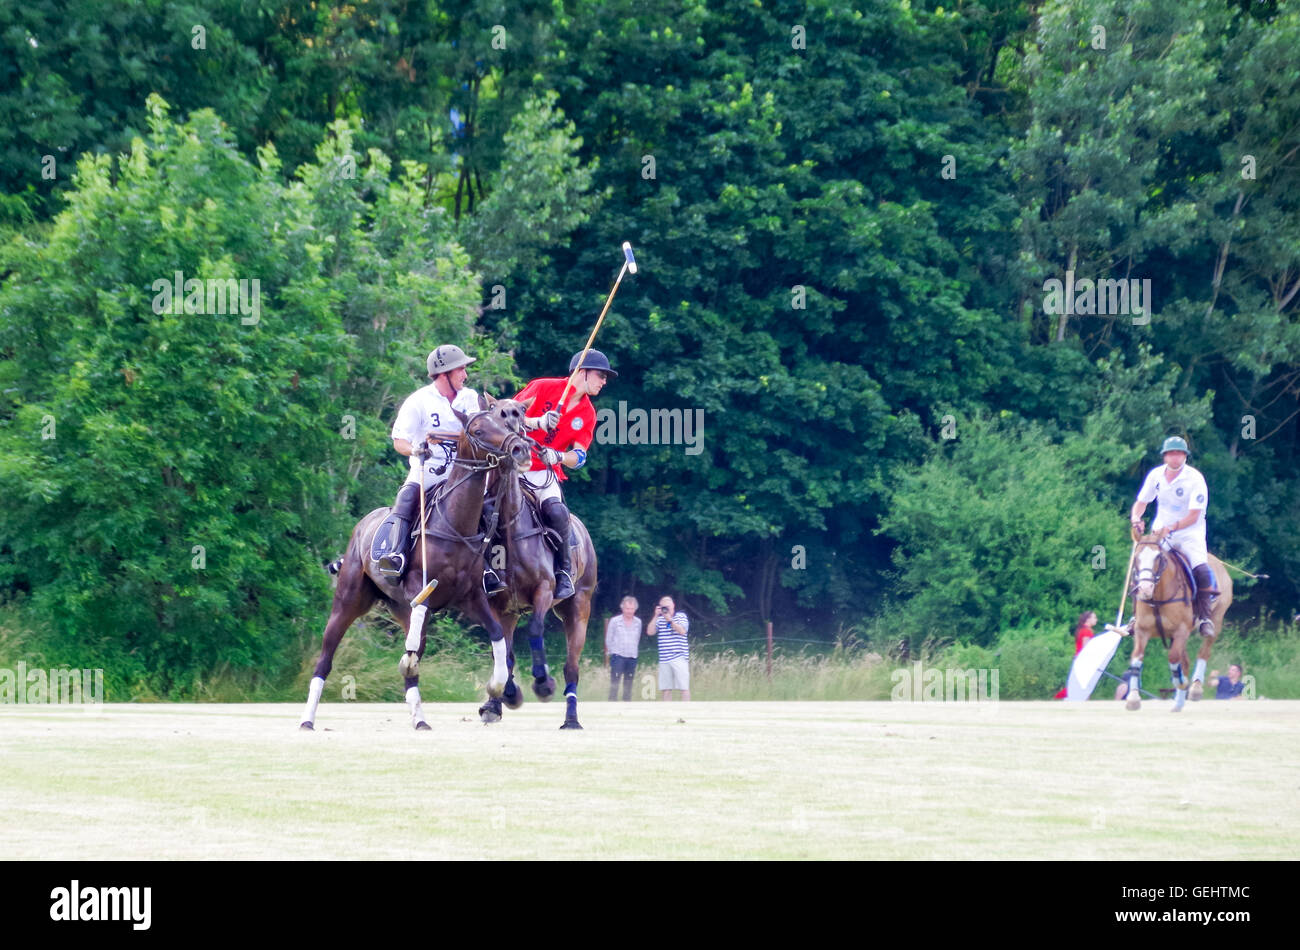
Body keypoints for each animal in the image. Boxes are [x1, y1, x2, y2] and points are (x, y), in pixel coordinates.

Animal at [299, 397, 533, 732]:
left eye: (504, 423)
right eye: (477, 430)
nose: (519, 449)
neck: (456, 524)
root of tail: (363, 524)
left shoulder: (472, 597)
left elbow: (498, 635)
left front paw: (499, 688)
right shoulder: (416, 587)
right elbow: (421, 612)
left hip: (396, 606)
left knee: (414, 656)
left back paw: (420, 718)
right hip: (348, 601)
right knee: (325, 658)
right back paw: (307, 719)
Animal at [478, 397, 598, 732]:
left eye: (518, 413)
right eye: (495, 414)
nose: (516, 447)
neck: (510, 526)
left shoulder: (544, 591)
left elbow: (534, 629)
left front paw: (543, 683)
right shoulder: (499, 605)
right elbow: (504, 654)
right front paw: (505, 697)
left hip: (579, 607)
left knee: (572, 667)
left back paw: (571, 718)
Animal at [1118, 530, 1227, 712]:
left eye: (1158, 557)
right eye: (1137, 557)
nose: (1145, 589)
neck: (1157, 598)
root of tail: (1219, 562)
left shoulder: (1181, 630)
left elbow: (1174, 657)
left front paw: (1181, 683)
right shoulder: (1142, 630)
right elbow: (1136, 657)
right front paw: (1133, 699)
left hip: (1217, 618)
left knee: (1204, 651)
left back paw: (1195, 688)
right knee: (1186, 661)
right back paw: (1178, 703)